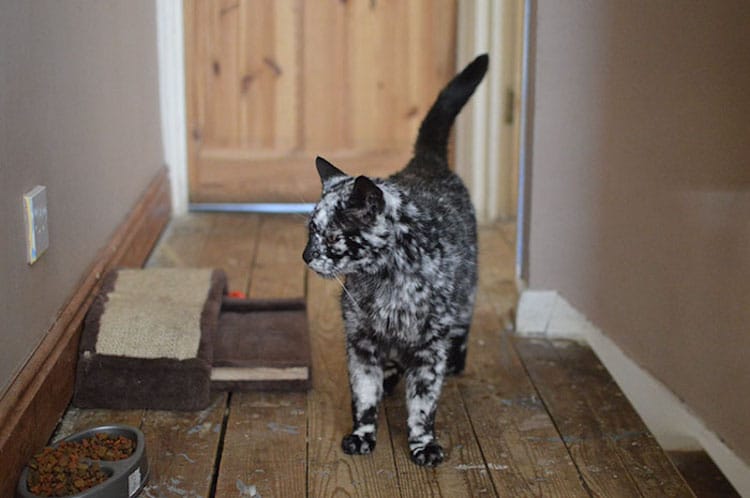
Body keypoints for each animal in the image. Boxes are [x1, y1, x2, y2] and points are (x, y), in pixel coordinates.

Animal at [302, 52, 490, 464]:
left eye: (333, 237)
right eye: (310, 230)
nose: (306, 256)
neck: (384, 284)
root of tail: (425, 163)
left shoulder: (428, 350)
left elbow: (422, 405)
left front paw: (423, 444)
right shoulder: (361, 343)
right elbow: (363, 395)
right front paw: (362, 435)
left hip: (465, 297)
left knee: (463, 326)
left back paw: (456, 362)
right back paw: (389, 378)